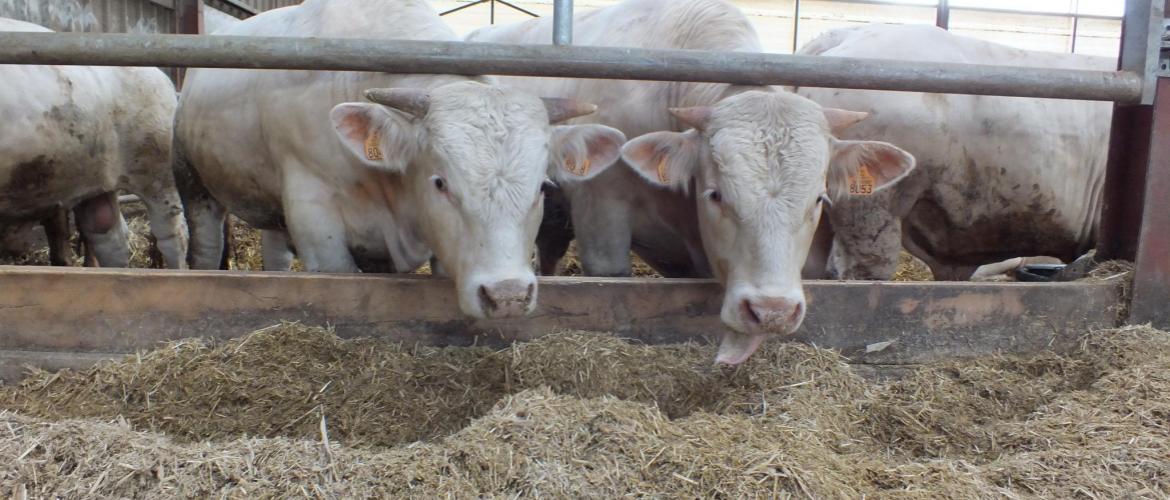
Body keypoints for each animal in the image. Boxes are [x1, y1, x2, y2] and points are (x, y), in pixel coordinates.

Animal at [176, 0, 627, 318]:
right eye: (441, 182)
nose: (508, 295)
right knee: (205, 247)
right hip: (194, 185)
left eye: (542, 188)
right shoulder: (315, 221)